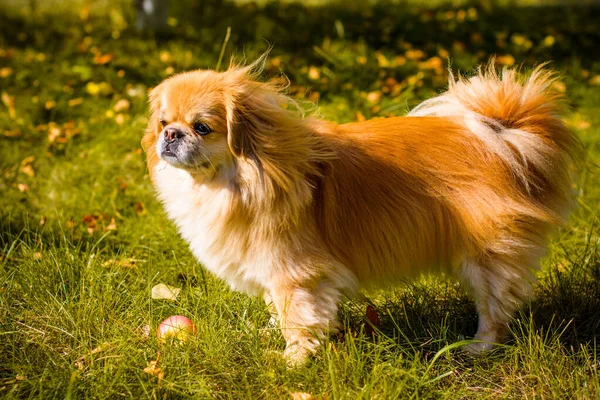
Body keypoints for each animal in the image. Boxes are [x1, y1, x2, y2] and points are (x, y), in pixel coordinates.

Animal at [142, 59, 580, 366]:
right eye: (163, 123)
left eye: (202, 127)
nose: (171, 134)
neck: (240, 179)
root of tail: (503, 135)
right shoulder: (272, 268)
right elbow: (276, 308)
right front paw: (270, 334)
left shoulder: (296, 274)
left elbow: (297, 316)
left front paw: (293, 360)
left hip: (486, 258)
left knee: (496, 309)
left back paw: (480, 347)